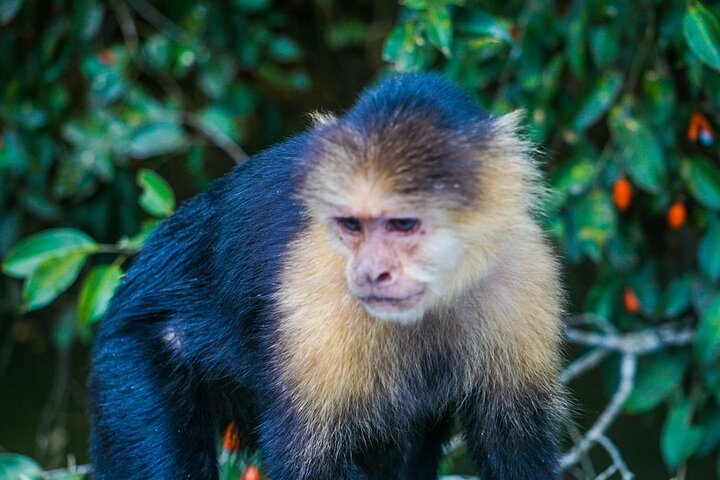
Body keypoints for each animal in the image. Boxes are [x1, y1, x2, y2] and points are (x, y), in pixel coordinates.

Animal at [88, 72, 565, 480]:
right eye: (352, 225)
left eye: (403, 224)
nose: (372, 272)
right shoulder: (314, 293)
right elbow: (309, 462)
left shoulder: (525, 270)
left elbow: (516, 449)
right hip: (127, 357)